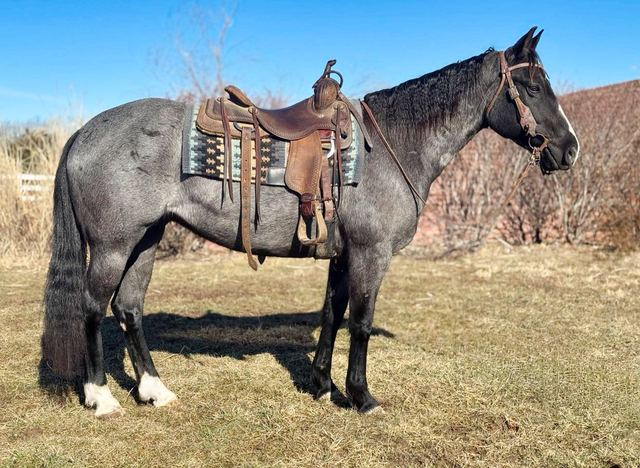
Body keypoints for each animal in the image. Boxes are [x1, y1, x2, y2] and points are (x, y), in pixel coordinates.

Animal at [41, 27, 579, 417]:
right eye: (532, 87)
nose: (570, 150)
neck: (391, 146)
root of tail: (84, 131)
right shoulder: (370, 254)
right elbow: (360, 322)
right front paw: (361, 396)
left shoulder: (343, 255)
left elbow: (331, 315)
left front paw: (321, 384)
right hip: (113, 245)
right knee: (93, 307)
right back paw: (100, 397)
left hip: (146, 239)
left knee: (129, 308)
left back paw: (154, 390)